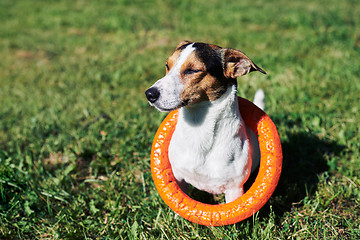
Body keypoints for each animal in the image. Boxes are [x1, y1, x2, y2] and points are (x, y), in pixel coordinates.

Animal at [145, 40, 266, 202]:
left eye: (192, 70)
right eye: (167, 65)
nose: (149, 94)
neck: (198, 128)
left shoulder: (234, 189)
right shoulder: (178, 177)